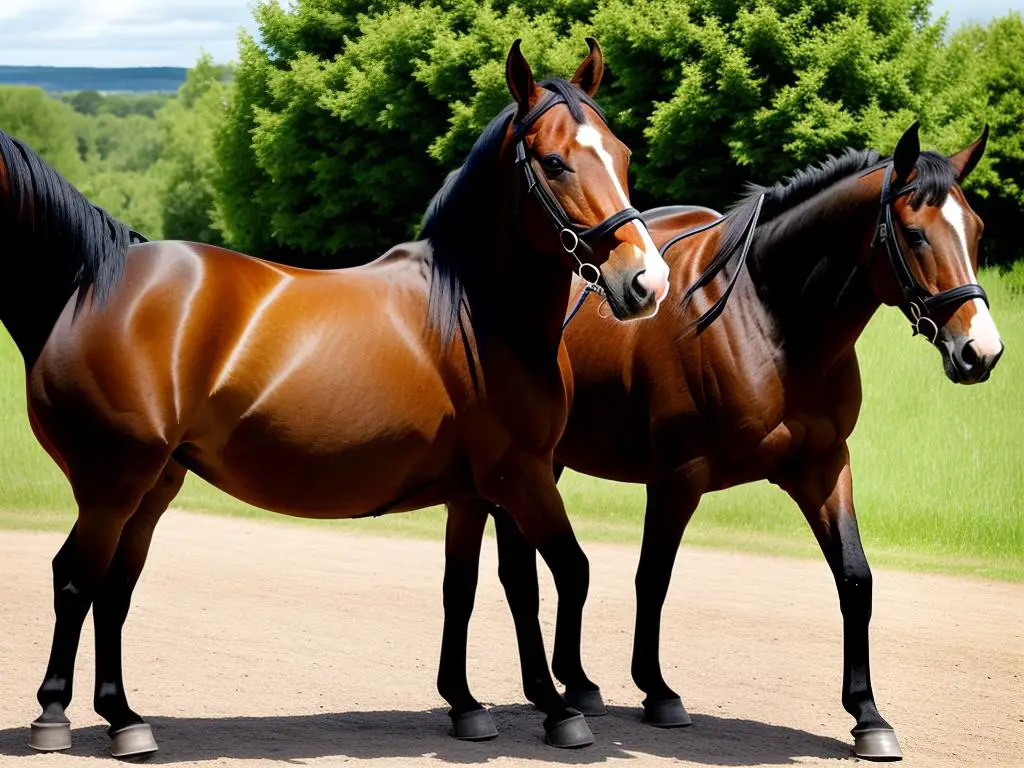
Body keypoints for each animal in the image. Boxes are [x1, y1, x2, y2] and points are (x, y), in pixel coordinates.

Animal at [4, 39, 671, 761]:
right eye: (554, 161)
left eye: (622, 153)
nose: (647, 281)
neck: (478, 311)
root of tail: (91, 283)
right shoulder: (522, 478)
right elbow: (566, 574)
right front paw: (561, 707)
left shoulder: (477, 492)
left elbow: (473, 590)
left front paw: (468, 705)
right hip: (111, 484)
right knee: (76, 579)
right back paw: (56, 717)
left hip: (152, 485)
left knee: (114, 590)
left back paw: (123, 717)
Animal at [436, 123, 1003, 761]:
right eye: (914, 233)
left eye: (976, 230)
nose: (981, 351)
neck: (768, 321)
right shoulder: (677, 477)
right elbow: (652, 578)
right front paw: (657, 691)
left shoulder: (824, 466)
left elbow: (855, 579)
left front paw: (868, 715)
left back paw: (574, 685)